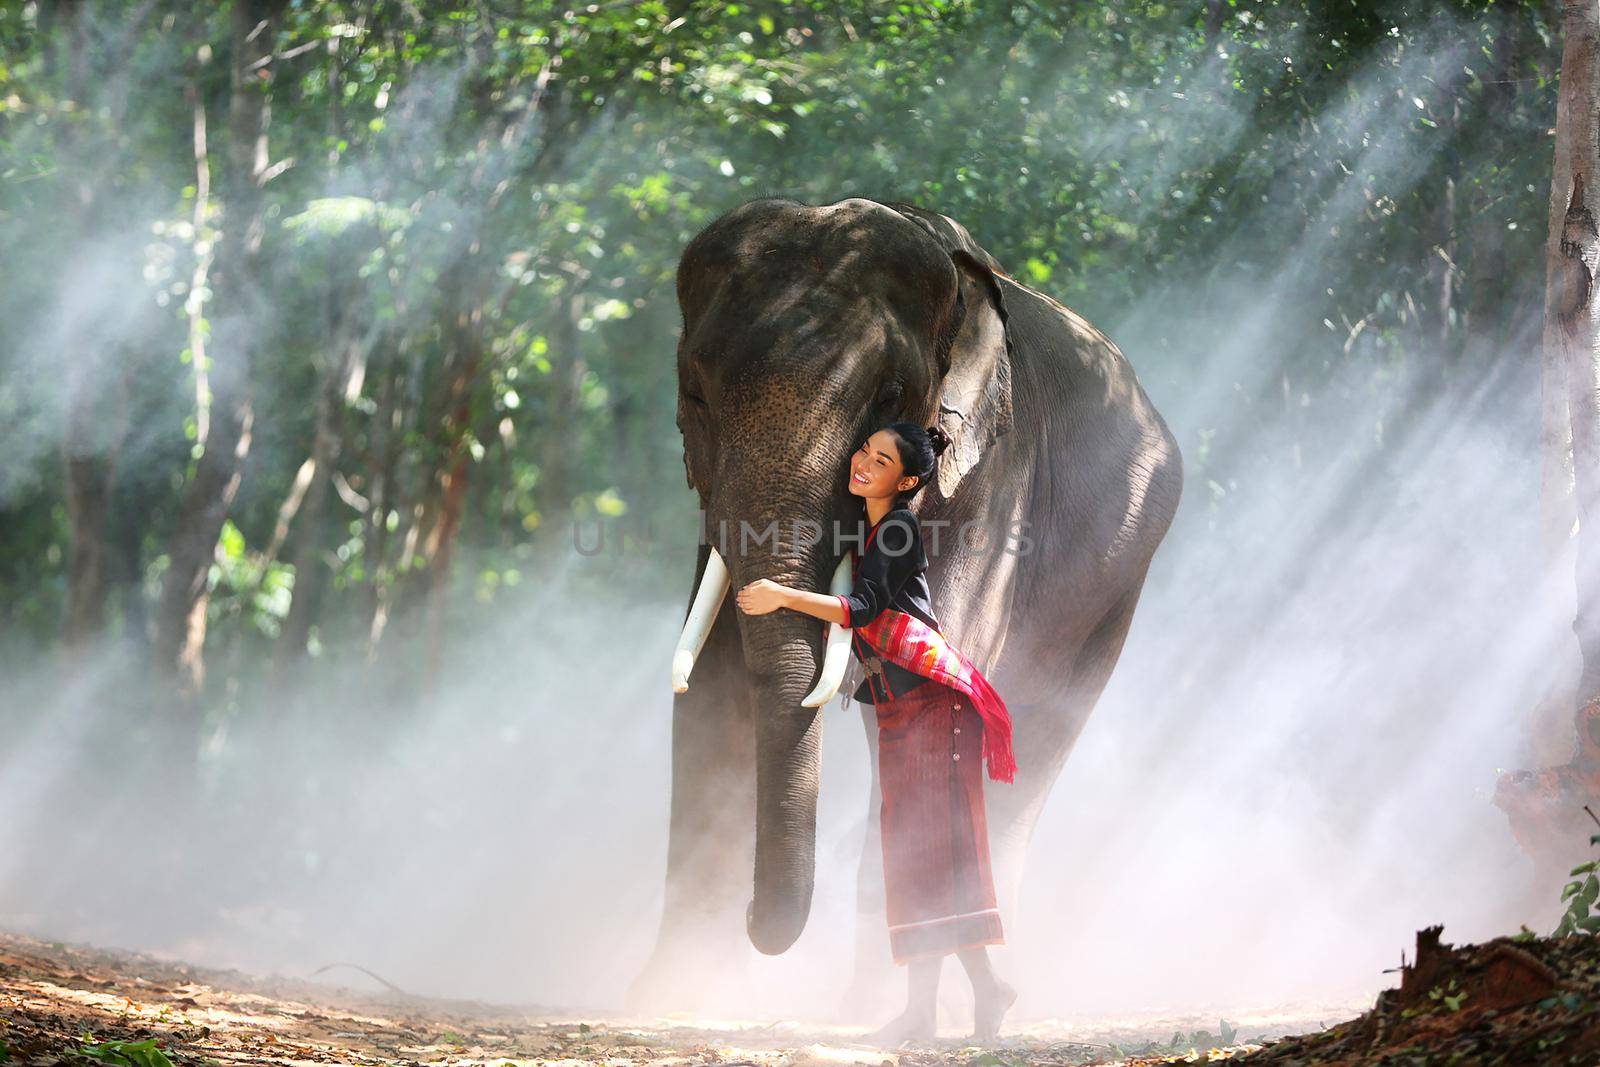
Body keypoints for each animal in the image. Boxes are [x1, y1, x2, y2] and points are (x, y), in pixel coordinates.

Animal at [624, 195, 1190, 1023]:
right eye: (694, 394)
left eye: (889, 398)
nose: (758, 921)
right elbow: (717, 690)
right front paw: (670, 993)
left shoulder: (993, 478)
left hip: (1117, 583)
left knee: (1032, 743)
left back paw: (925, 1003)